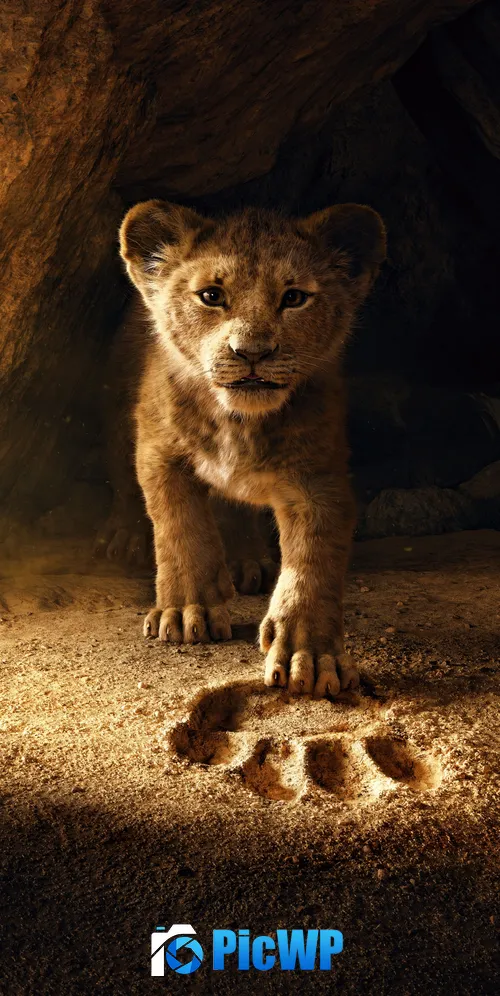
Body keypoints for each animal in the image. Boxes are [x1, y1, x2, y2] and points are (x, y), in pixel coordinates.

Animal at [100, 199, 386, 698]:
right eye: (212, 296)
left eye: (294, 298)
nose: (252, 352)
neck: (239, 422)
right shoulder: (159, 451)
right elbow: (180, 528)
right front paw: (187, 611)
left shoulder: (318, 478)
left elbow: (313, 562)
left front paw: (310, 655)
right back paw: (126, 538)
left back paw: (245, 560)